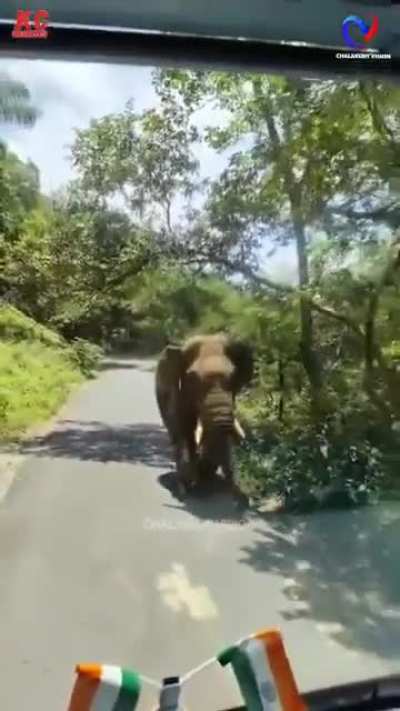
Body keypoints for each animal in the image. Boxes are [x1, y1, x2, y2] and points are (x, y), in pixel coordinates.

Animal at [155, 333, 253, 502]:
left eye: (233, 377)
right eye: (192, 379)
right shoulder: (178, 390)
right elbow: (185, 426)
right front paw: (186, 488)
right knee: (176, 432)